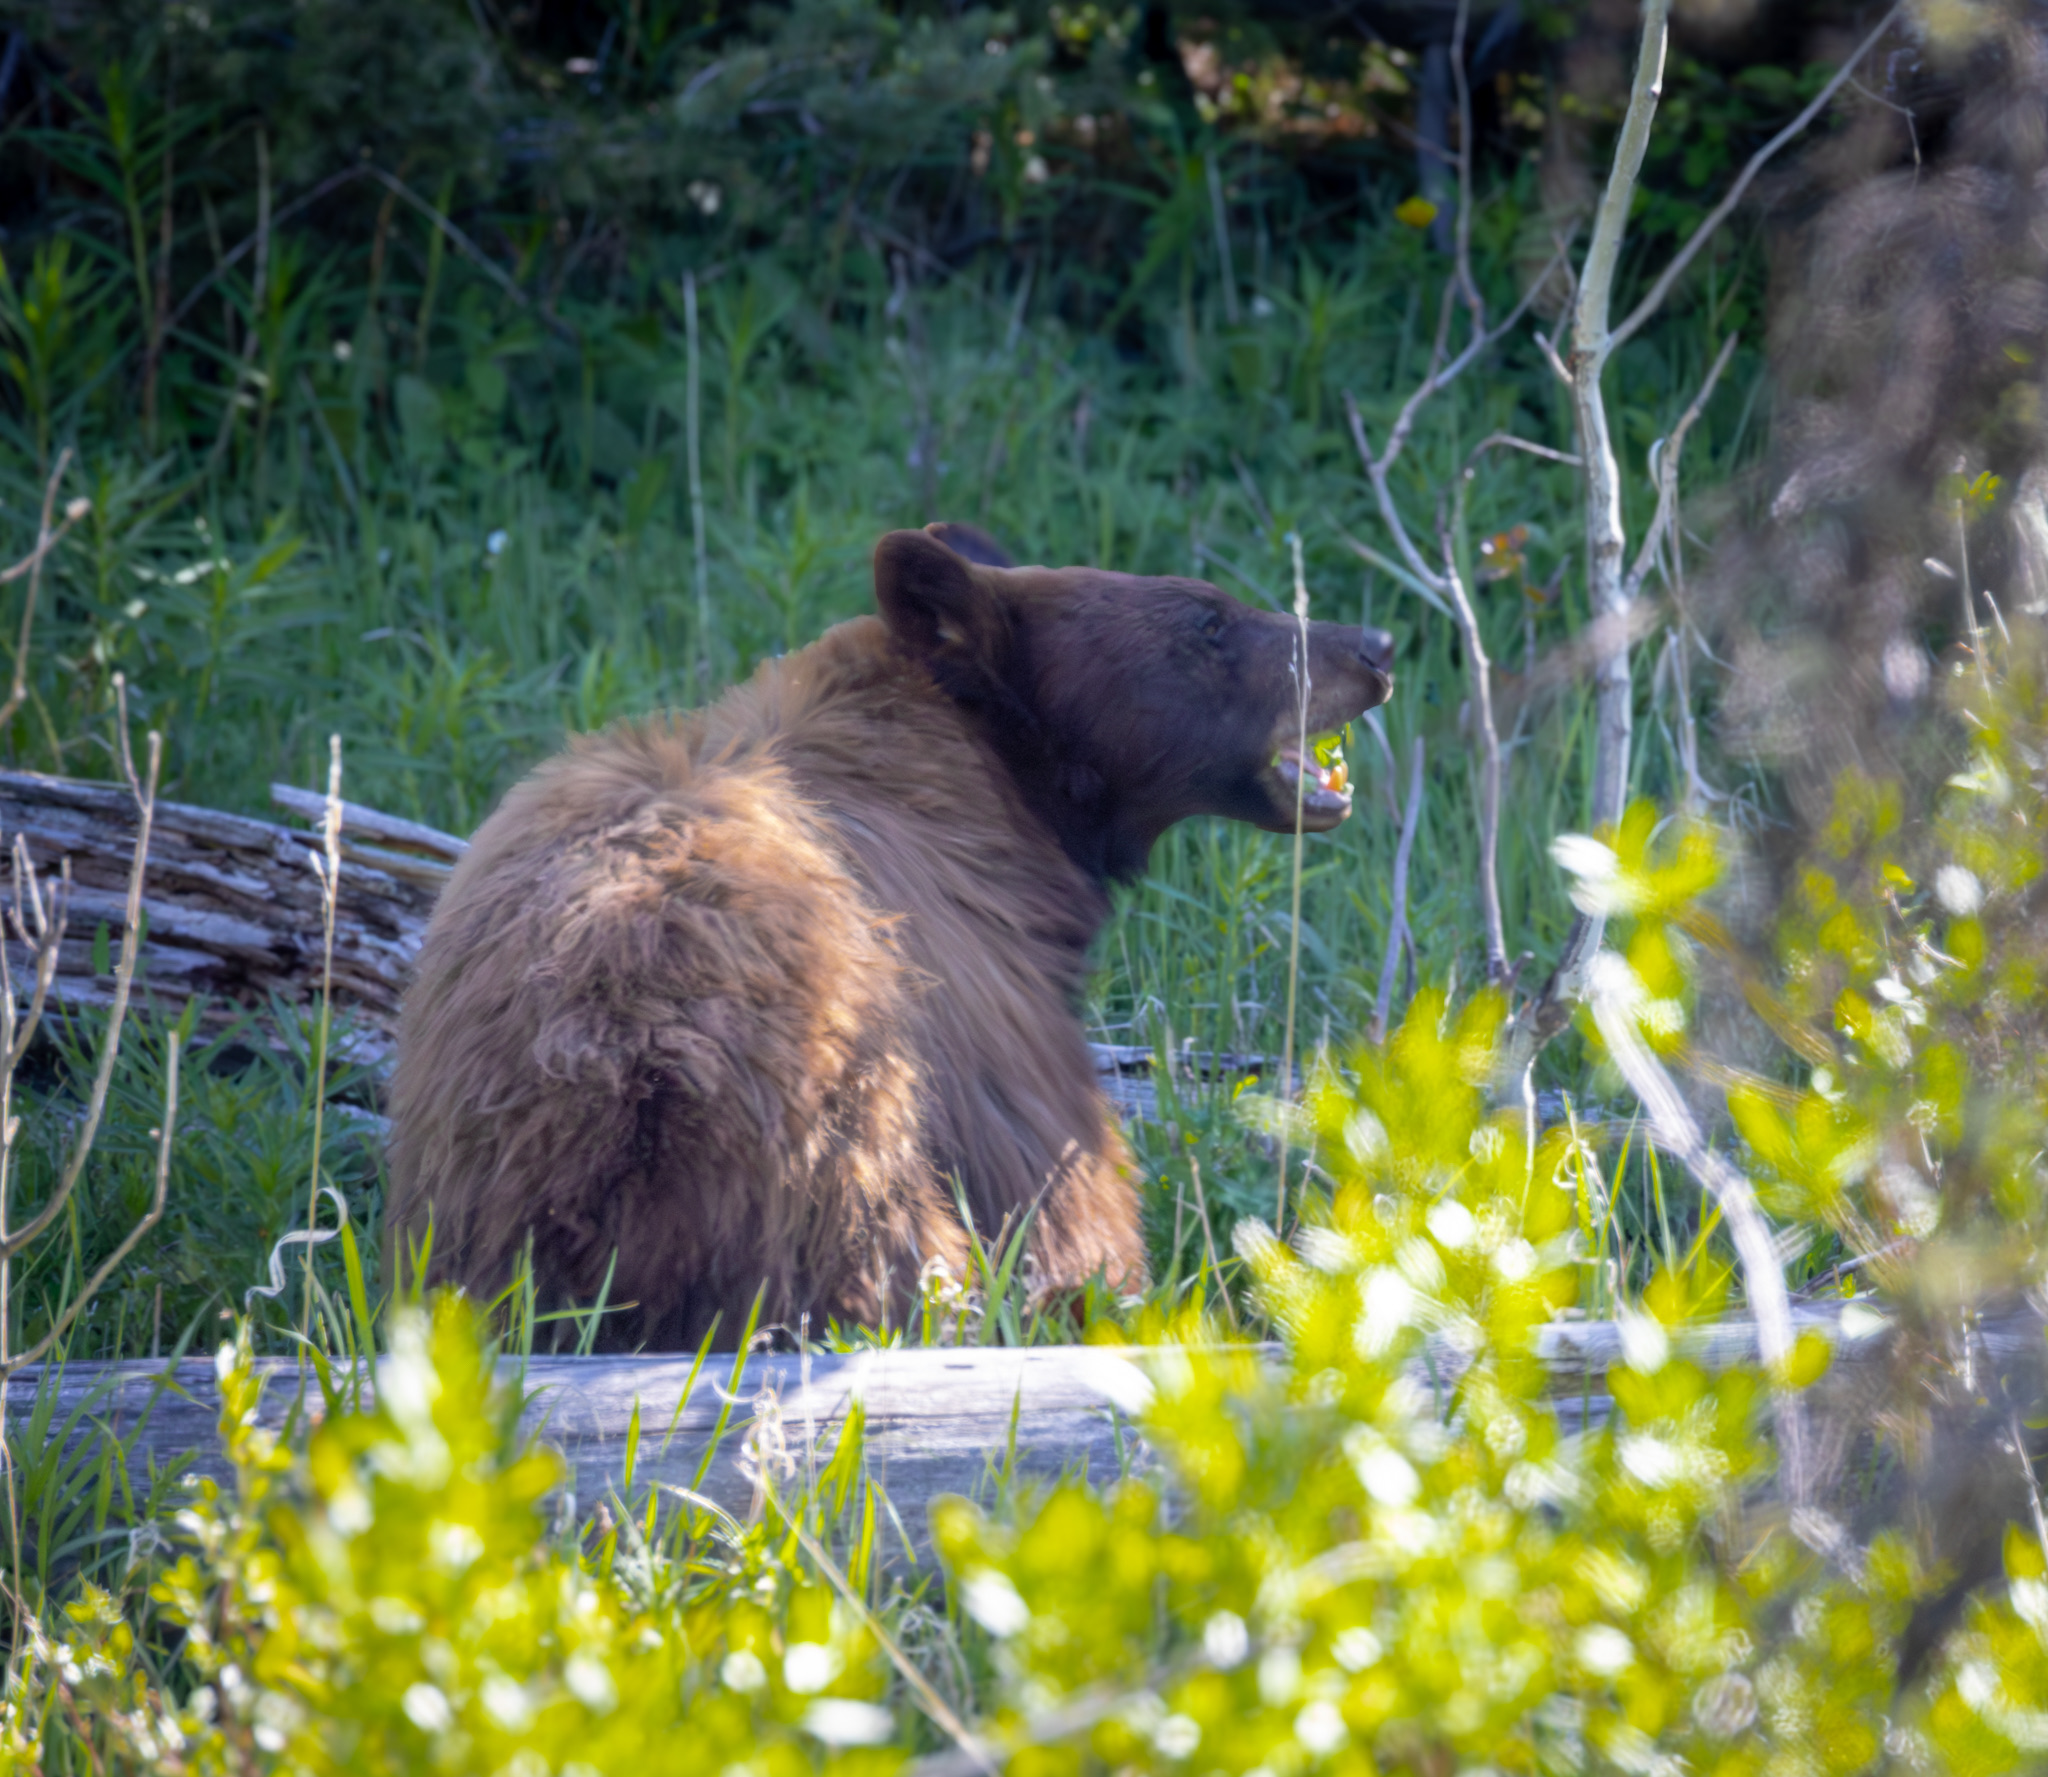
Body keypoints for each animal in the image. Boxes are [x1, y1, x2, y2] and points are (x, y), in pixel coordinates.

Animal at [383, 524, 1394, 1349]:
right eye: (1208, 620)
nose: (1375, 645)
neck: (980, 780)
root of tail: (621, 1062)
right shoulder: (991, 1008)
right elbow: (1070, 1212)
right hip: (840, 1163)